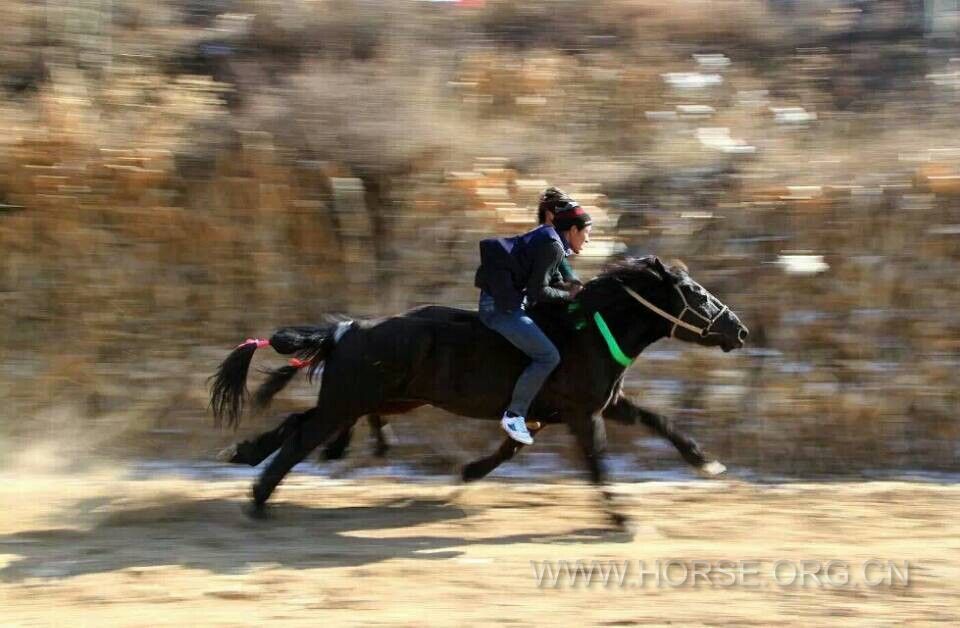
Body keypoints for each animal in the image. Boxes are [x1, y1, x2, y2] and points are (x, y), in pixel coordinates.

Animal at [212, 255, 752, 524]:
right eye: (697, 294)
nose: (740, 330)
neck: (588, 331)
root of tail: (347, 328)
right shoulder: (582, 413)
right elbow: (597, 461)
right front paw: (621, 520)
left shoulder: (602, 404)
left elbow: (660, 422)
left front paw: (707, 463)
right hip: (351, 401)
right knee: (302, 438)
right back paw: (257, 499)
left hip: (379, 400)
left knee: (298, 425)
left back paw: (244, 454)